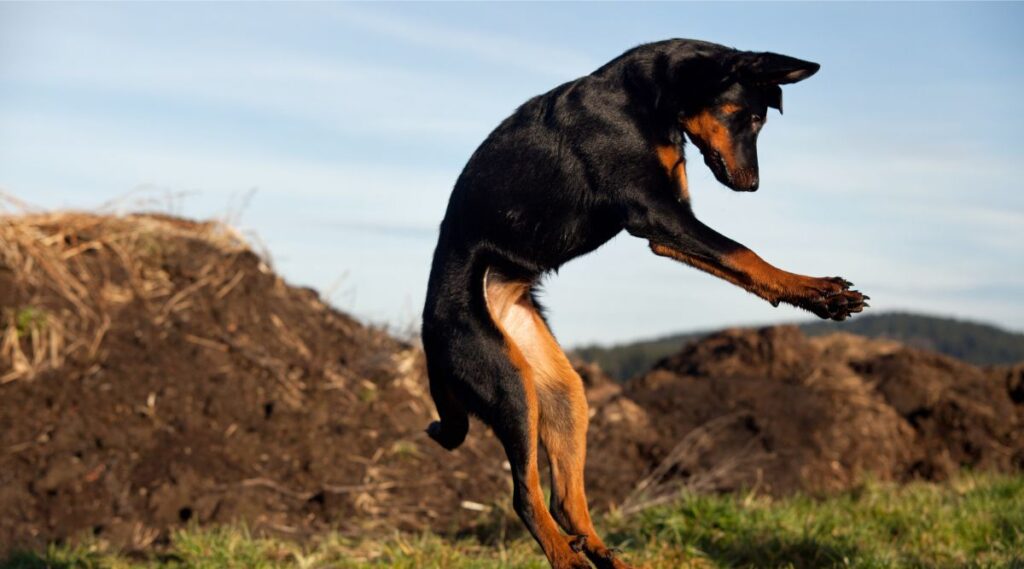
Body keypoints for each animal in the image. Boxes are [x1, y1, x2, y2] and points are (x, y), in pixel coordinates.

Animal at [419, 37, 868, 564]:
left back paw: (603, 556)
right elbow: (744, 252)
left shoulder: (668, 226)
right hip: (508, 385)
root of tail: (428, 334)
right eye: (746, 116)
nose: (752, 185)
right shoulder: (655, 213)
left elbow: (740, 263)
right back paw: (569, 559)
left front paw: (815, 294)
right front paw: (818, 292)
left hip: (560, 390)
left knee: (565, 498)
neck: (648, 98)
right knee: (525, 496)